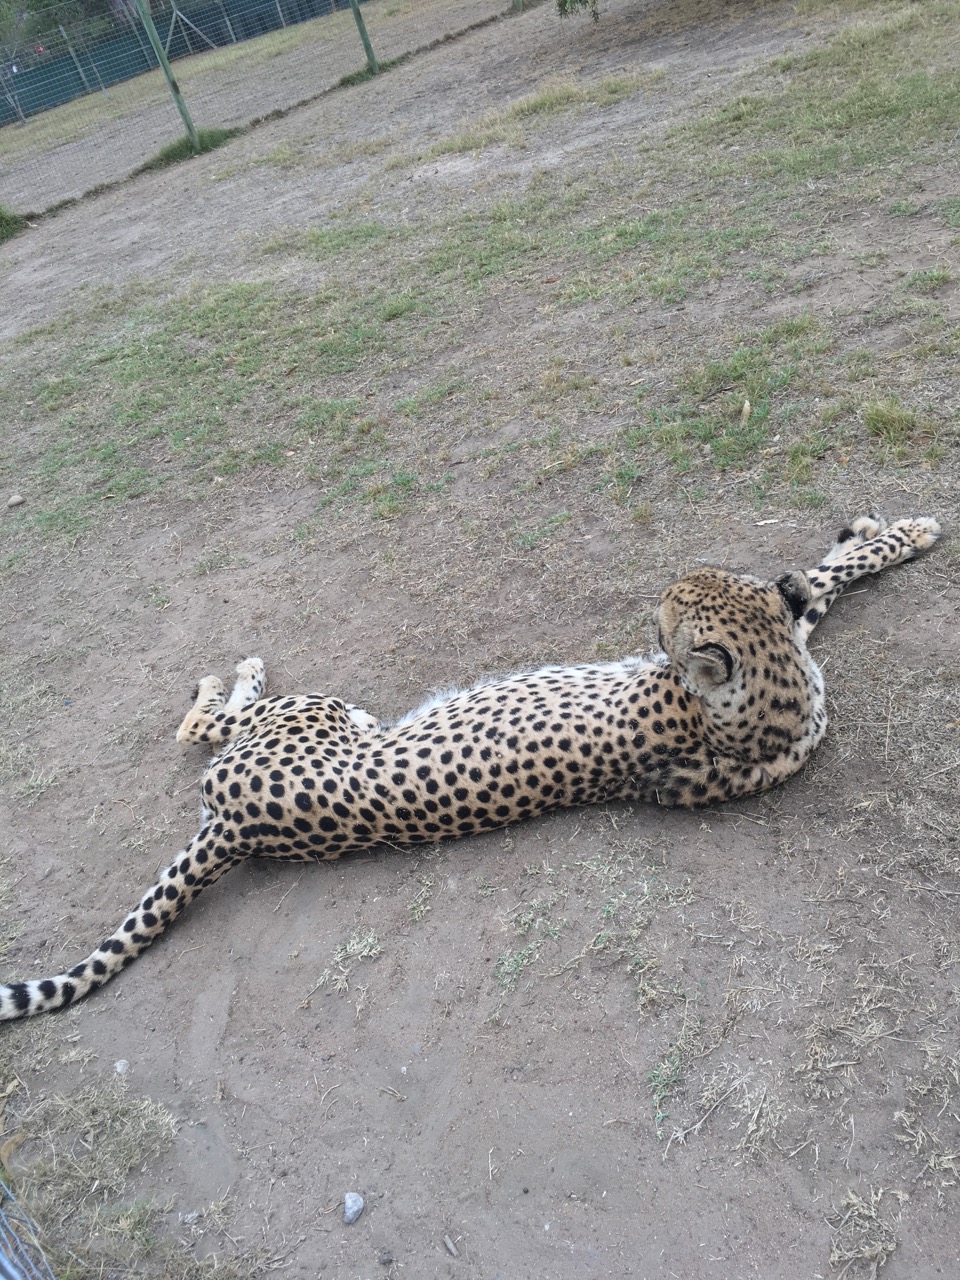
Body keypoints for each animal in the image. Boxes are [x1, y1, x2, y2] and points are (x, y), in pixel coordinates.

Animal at [0, 512, 940, 1021]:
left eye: (675, 607)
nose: (654, 602)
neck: (762, 717)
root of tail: (233, 829)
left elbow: (820, 580)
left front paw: (888, 534)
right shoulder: (785, 651)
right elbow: (821, 580)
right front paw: (895, 530)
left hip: (315, 717)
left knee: (203, 720)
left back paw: (229, 675)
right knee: (202, 723)